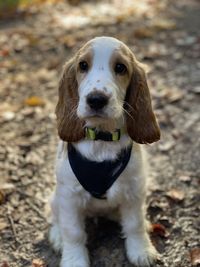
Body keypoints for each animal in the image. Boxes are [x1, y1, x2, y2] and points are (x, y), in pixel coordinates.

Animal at [49, 36, 161, 267]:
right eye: (83, 65)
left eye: (120, 67)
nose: (96, 99)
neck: (102, 139)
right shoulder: (68, 196)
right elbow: (73, 232)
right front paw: (74, 260)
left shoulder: (134, 190)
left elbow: (134, 224)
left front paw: (141, 250)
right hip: (55, 197)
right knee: (56, 217)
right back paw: (57, 237)